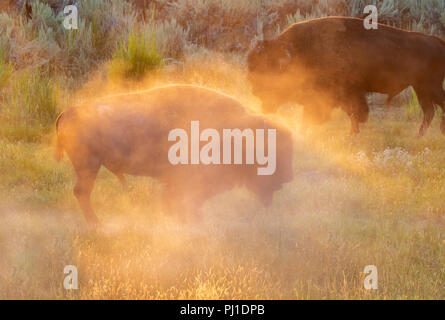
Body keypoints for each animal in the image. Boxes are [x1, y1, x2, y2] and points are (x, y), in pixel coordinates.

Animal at [55, 85, 294, 225]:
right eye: (273, 151)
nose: (287, 177)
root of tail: (68, 112)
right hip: (88, 166)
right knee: (82, 192)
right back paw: (96, 224)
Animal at [246, 16, 444, 136]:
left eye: (268, 69)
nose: (254, 91)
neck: (299, 51)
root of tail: (437, 41)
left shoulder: (347, 93)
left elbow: (354, 112)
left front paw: (351, 134)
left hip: (429, 87)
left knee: (434, 108)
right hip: (421, 88)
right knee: (429, 111)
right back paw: (420, 136)